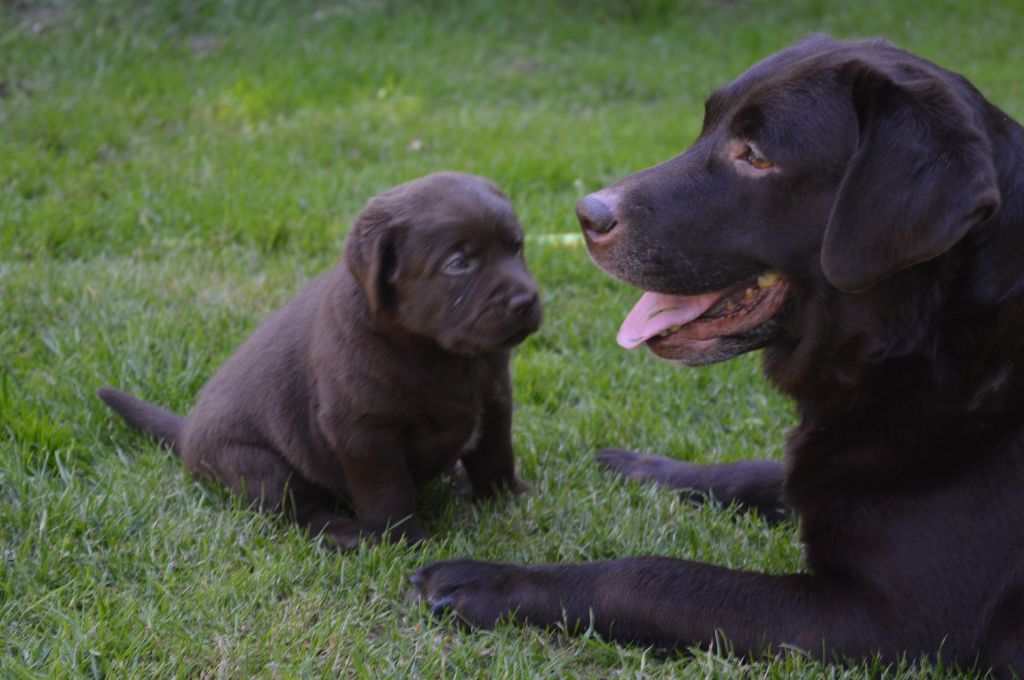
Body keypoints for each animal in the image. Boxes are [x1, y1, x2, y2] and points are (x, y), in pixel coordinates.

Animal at [98, 171, 540, 548]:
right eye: (458, 263)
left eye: (516, 246)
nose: (526, 300)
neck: (443, 355)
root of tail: (188, 436)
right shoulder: (363, 432)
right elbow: (388, 493)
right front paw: (407, 541)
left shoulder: (495, 398)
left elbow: (495, 454)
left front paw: (507, 497)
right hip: (258, 464)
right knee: (300, 510)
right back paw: (345, 533)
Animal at [411, 38, 1024, 680]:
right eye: (708, 126)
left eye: (755, 156)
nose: (586, 214)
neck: (931, 343)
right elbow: (759, 472)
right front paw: (642, 465)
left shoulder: (882, 622)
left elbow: (651, 577)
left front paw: (489, 581)